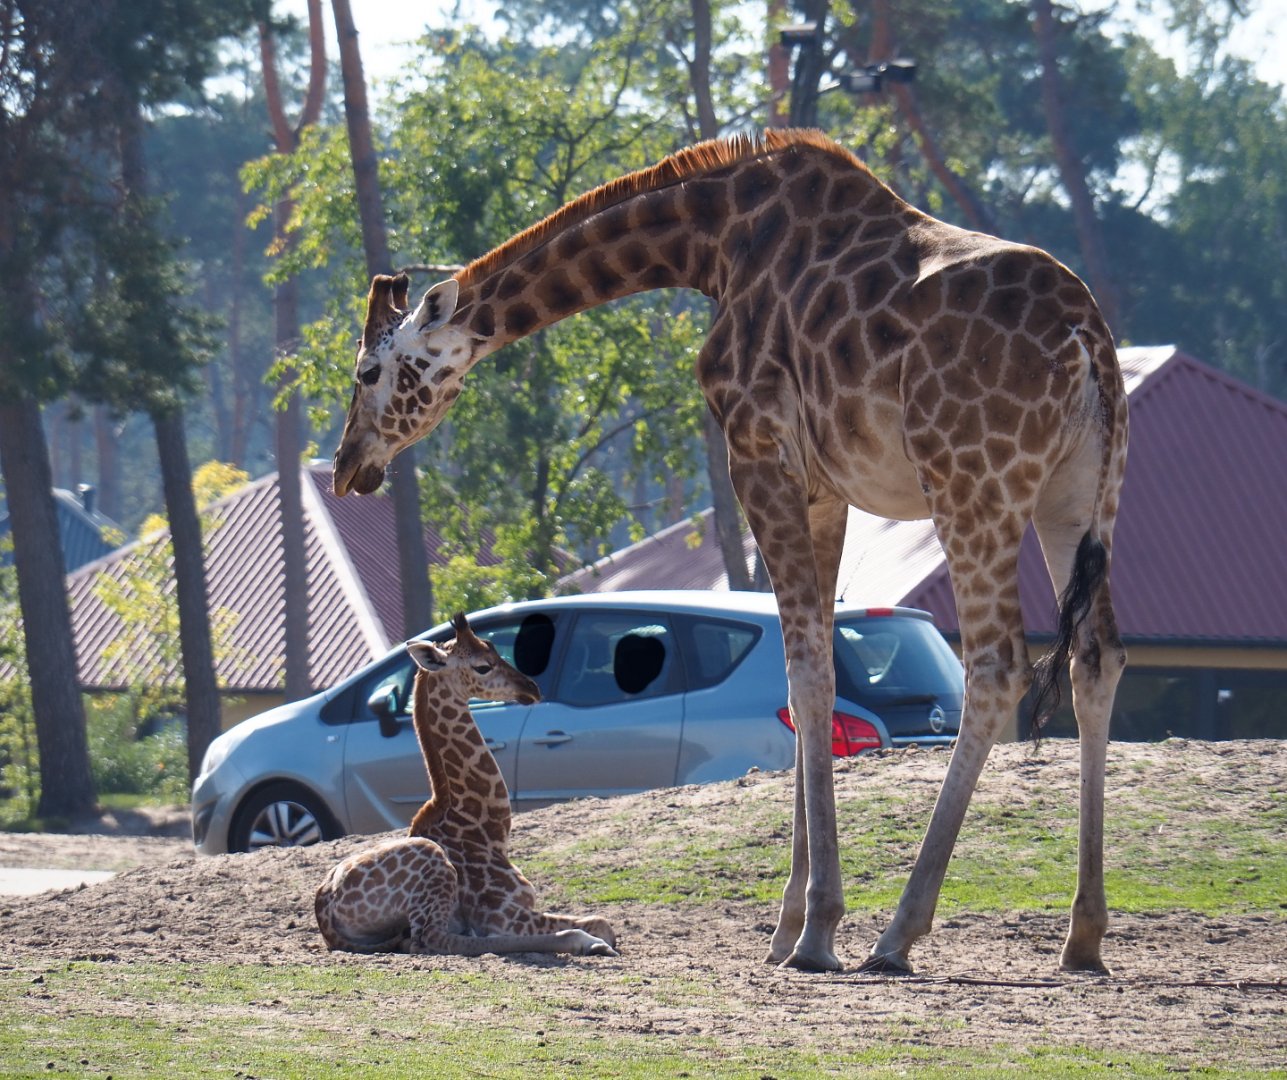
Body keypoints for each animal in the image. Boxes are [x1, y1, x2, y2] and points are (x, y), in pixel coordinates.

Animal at [315, 612, 618, 957]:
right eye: (483, 666)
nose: (532, 688)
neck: (488, 831)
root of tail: (326, 914)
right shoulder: (502, 911)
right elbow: (602, 922)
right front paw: (590, 939)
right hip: (433, 865)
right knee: (431, 939)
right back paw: (582, 942)